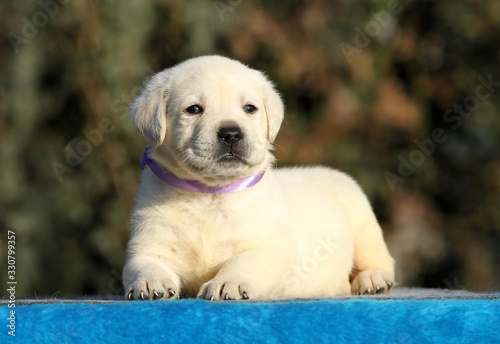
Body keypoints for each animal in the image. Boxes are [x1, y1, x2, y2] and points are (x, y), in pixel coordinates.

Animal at [122, 55, 394, 300]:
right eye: (194, 109)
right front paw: (149, 282)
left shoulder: (270, 248)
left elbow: (244, 260)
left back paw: (373, 279)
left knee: (380, 260)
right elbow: (145, 264)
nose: (231, 133)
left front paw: (228, 283)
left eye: (249, 108)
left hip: (361, 219)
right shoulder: (149, 244)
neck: (210, 193)